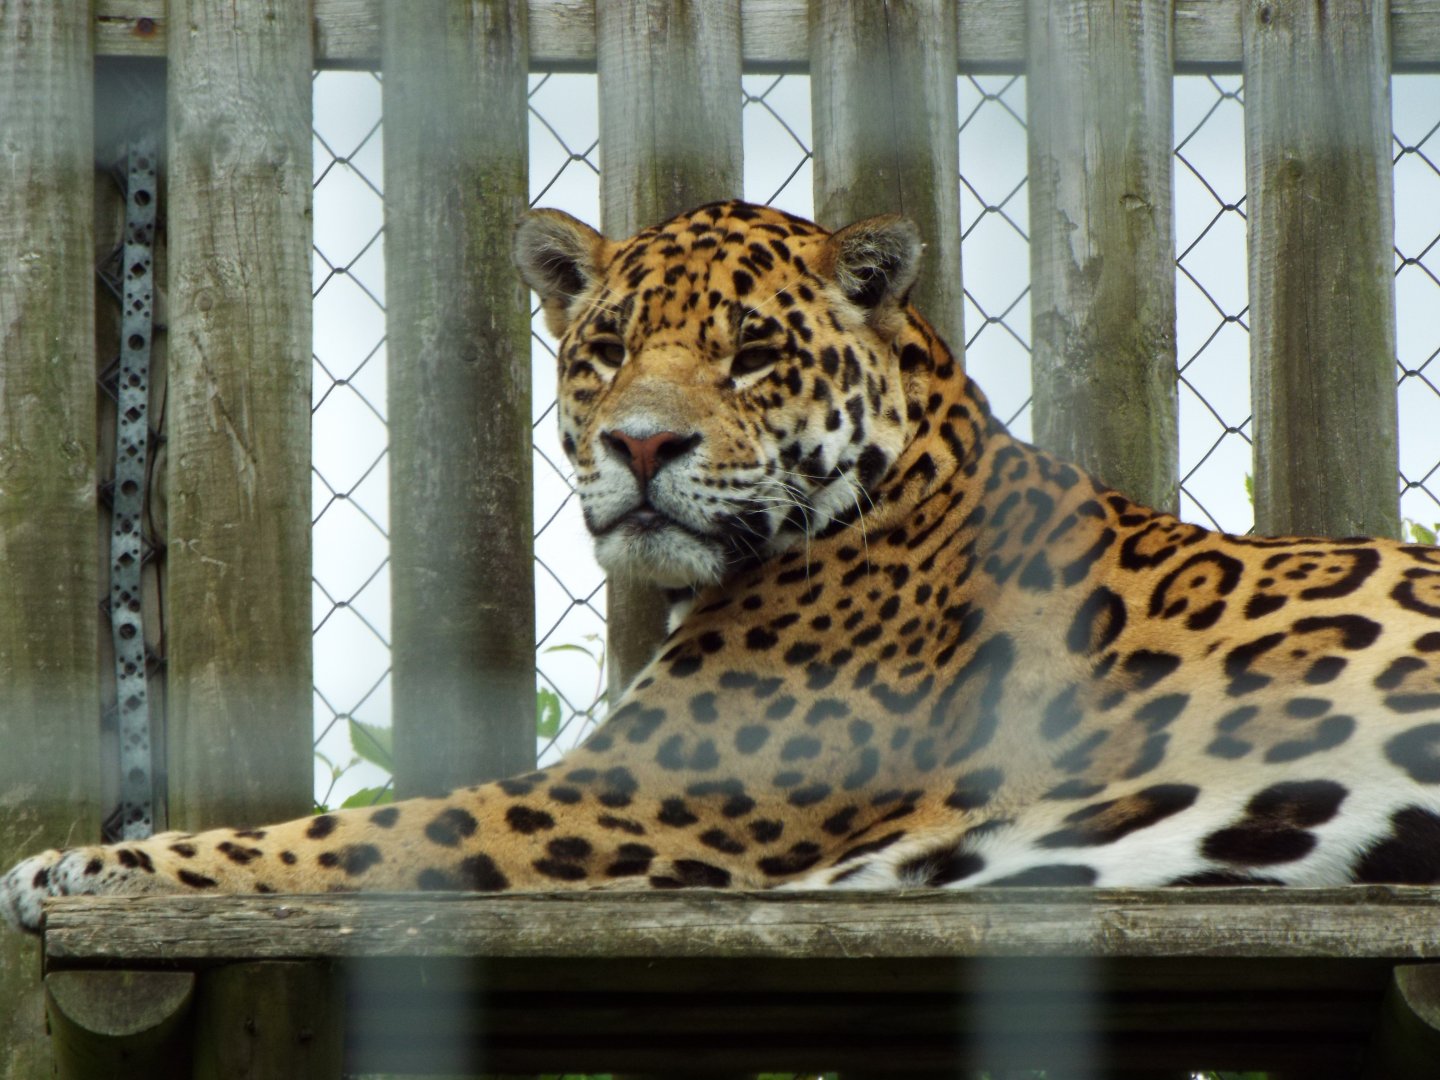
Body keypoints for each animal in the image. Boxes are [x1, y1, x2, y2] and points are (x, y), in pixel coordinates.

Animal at [6, 198, 1440, 935]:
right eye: (604, 349)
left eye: (753, 353)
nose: (641, 443)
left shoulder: (618, 800)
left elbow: (359, 831)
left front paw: (77, 868)